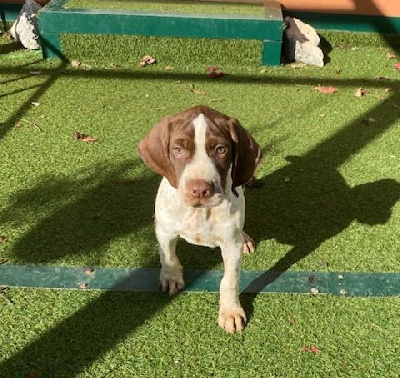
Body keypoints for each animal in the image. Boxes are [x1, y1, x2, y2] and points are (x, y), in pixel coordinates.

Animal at [138, 105, 262, 332]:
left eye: (221, 149)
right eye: (178, 150)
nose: (200, 190)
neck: (199, 212)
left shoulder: (231, 244)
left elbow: (230, 279)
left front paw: (230, 311)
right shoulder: (165, 232)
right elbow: (168, 256)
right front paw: (171, 277)